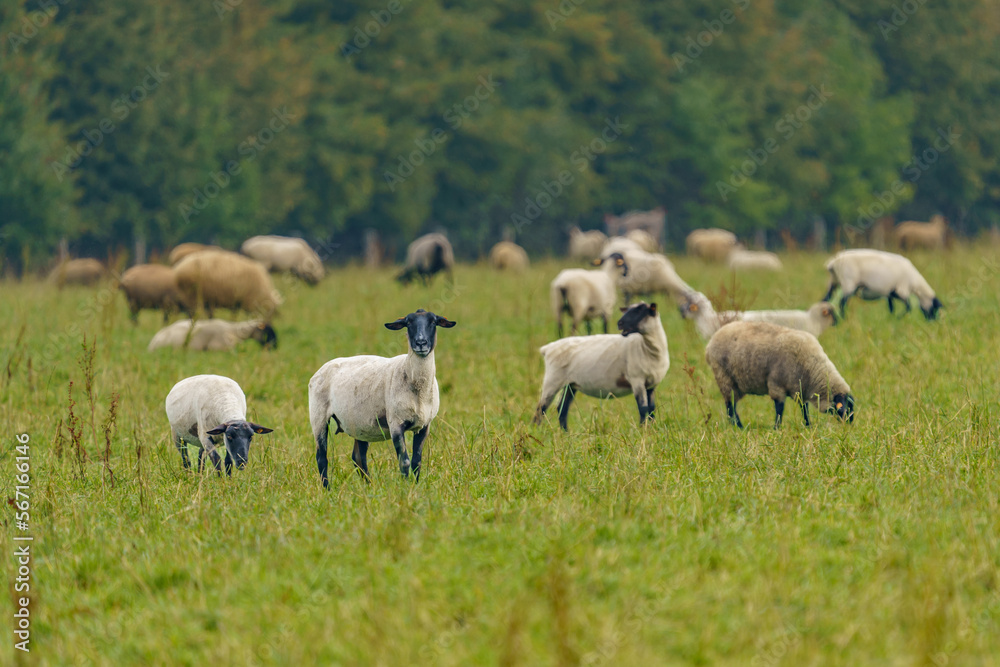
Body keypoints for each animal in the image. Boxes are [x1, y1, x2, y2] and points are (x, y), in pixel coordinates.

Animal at [308, 308, 458, 486]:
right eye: (408, 323)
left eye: (433, 322)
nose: (421, 343)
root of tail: (320, 370)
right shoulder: (395, 424)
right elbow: (404, 462)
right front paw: (406, 488)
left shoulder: (424, 425)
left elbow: (417, 462)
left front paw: (416, 486)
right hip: (318, 417)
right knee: (321, 458)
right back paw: (328, 489)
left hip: (358, 423)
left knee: (358, 458)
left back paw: (369, 487)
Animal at [536, 300, 668, 430]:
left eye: (639, 311)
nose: (620, 323)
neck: (648, 349)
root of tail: (547, 348)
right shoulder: (637, 380)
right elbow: (643, 409)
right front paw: (642, 429)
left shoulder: (651, 385)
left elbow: (651, 409)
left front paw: (652, 428)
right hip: (552, 380)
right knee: (541, 408)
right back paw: (536, 429)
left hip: (570, 384)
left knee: (562, 408)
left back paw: (565, 433)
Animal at [700, 322, 856, 428]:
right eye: (845, 408)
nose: (849, 424)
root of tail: (709, 345)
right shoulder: (777, 385)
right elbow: (780, 409)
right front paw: (777, 428)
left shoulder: (799, 388)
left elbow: (804, 408)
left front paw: (808, 426)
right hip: (725, 378)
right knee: (730, 406)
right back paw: (739, 427)